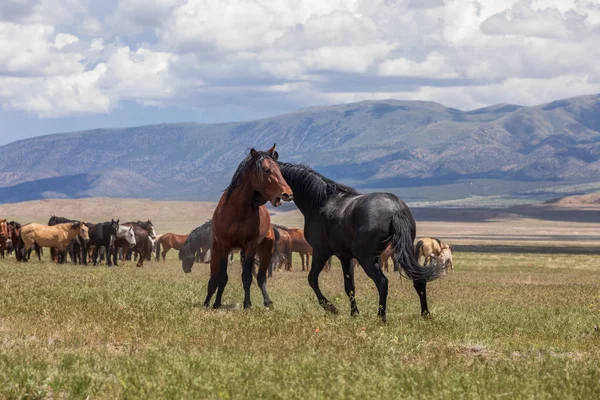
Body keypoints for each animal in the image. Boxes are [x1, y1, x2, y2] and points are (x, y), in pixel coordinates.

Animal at [190, 145, 292, 310]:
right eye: (267, 170)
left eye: (279, 170)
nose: (288, 194)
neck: (237, 210)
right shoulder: (224, 245)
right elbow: (221, 277)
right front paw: (216, 303)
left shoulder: (250, 246)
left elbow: (247, 278)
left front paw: (247, 305)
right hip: (216, 251)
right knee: (213, 279)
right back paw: (207, 302)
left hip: (266, 251)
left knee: (261, 278)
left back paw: (267, 302)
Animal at [278, 162, 442, 322]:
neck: (321, 202)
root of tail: (395, 209)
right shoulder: (345, 256)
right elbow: (349, 286)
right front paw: (354, 314)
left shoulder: (321, 252)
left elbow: (312, 279)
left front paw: (332, 308)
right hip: (403, 252)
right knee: (418, 279)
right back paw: (425, 314)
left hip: (366, 258)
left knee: (382, 282)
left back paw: (381, 318)